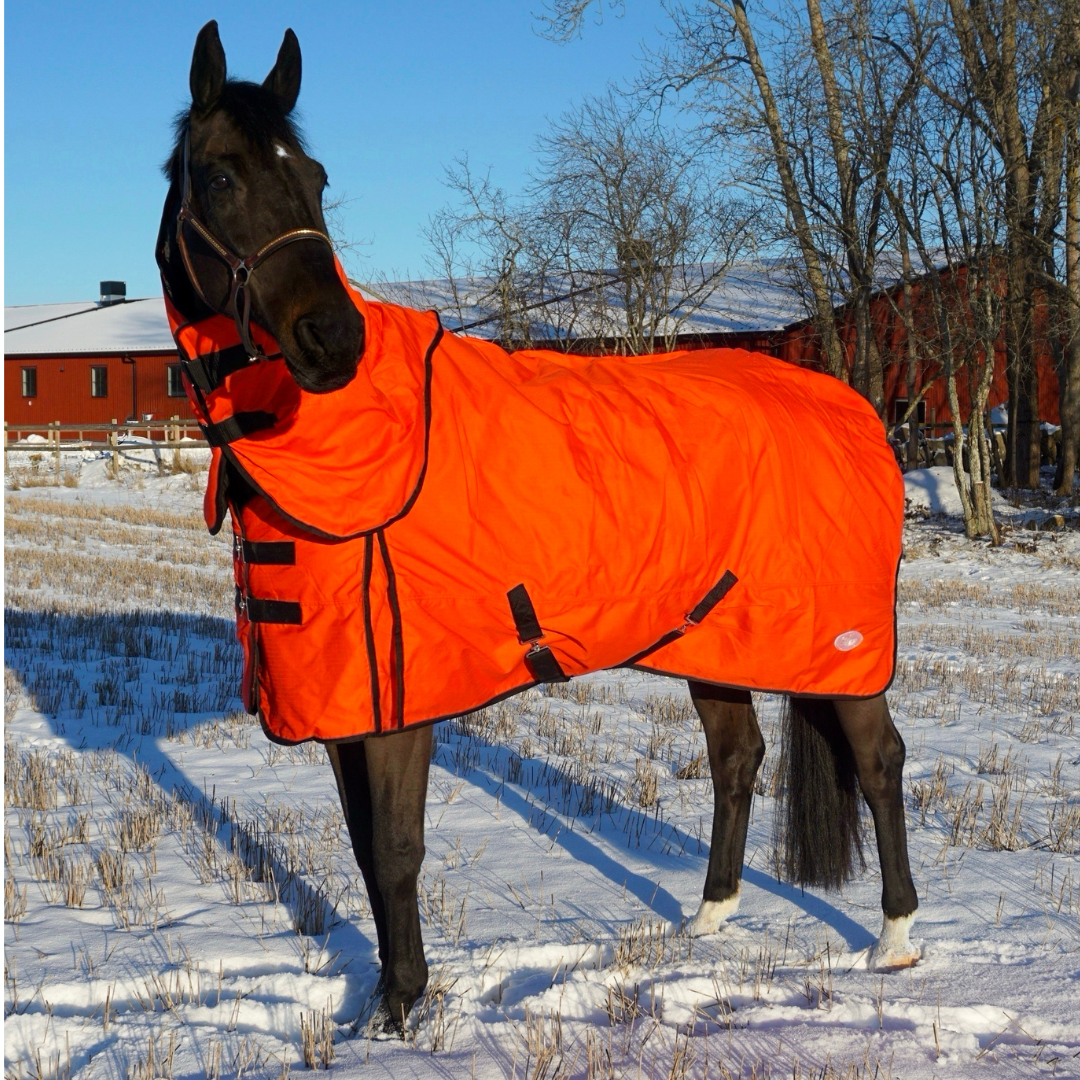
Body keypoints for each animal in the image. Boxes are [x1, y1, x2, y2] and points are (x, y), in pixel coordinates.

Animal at [157, 21, 920, 1036]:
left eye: (314, 176)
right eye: (221, 176)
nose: (332, 341)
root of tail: (856, 410)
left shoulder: (401, 704)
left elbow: (395, 850)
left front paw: (399, 1010)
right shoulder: (346, 706)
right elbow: (362, 850)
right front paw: (380, 1001)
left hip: (839, 642)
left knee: (878, 761)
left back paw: (896, 939)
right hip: (715, 635)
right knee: (737, 757)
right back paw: (709, 922)